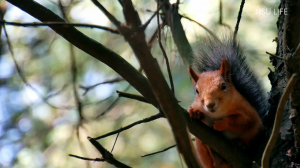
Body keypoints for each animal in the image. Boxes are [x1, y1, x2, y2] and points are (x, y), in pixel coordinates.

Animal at [189, 34, 268, 168]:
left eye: (223, 86)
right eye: (197, 91)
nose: (210, 104)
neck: (217, 112)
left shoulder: (247, 112)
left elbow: (241, 121)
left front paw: (220, 124)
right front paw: (195, 112)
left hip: (254, 136)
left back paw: (240, 145)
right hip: (201, 145)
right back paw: (214, 155)